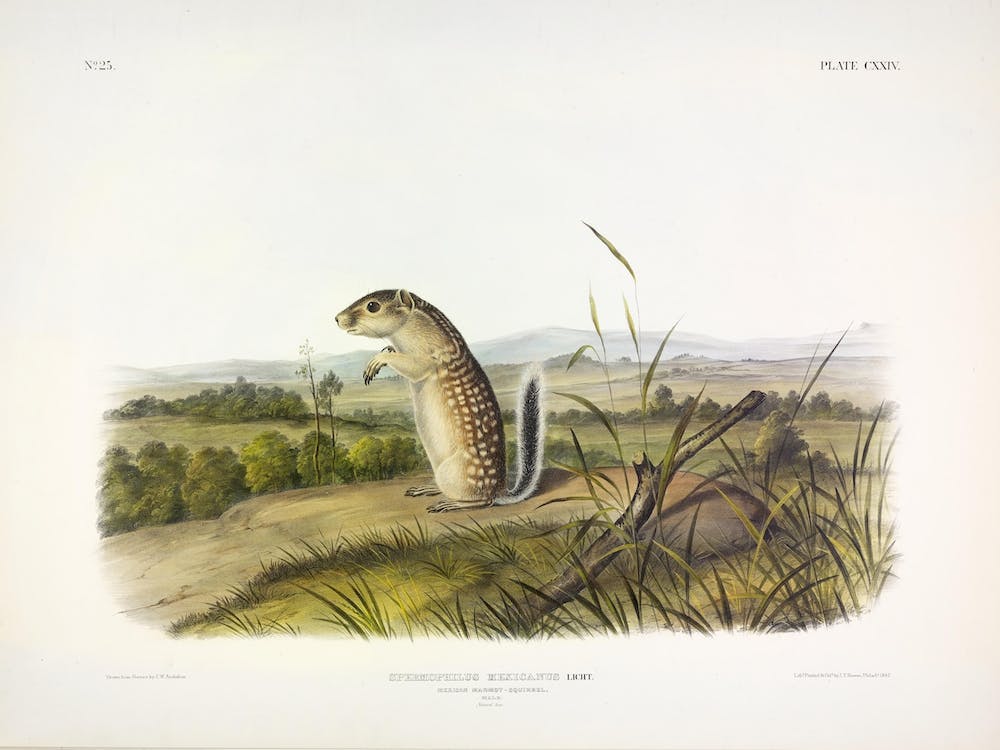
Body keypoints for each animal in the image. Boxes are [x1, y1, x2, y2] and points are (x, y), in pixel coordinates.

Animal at [335, 289, 544, 513]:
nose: (336, 318)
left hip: (453, 473)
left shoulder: (429, 356)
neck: (414, 323)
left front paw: (378, 360)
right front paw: (387, 350)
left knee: (483, 501)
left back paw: (450, 503)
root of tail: (500, 491)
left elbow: (413, 366)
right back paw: (428, 489)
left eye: (372, 306)